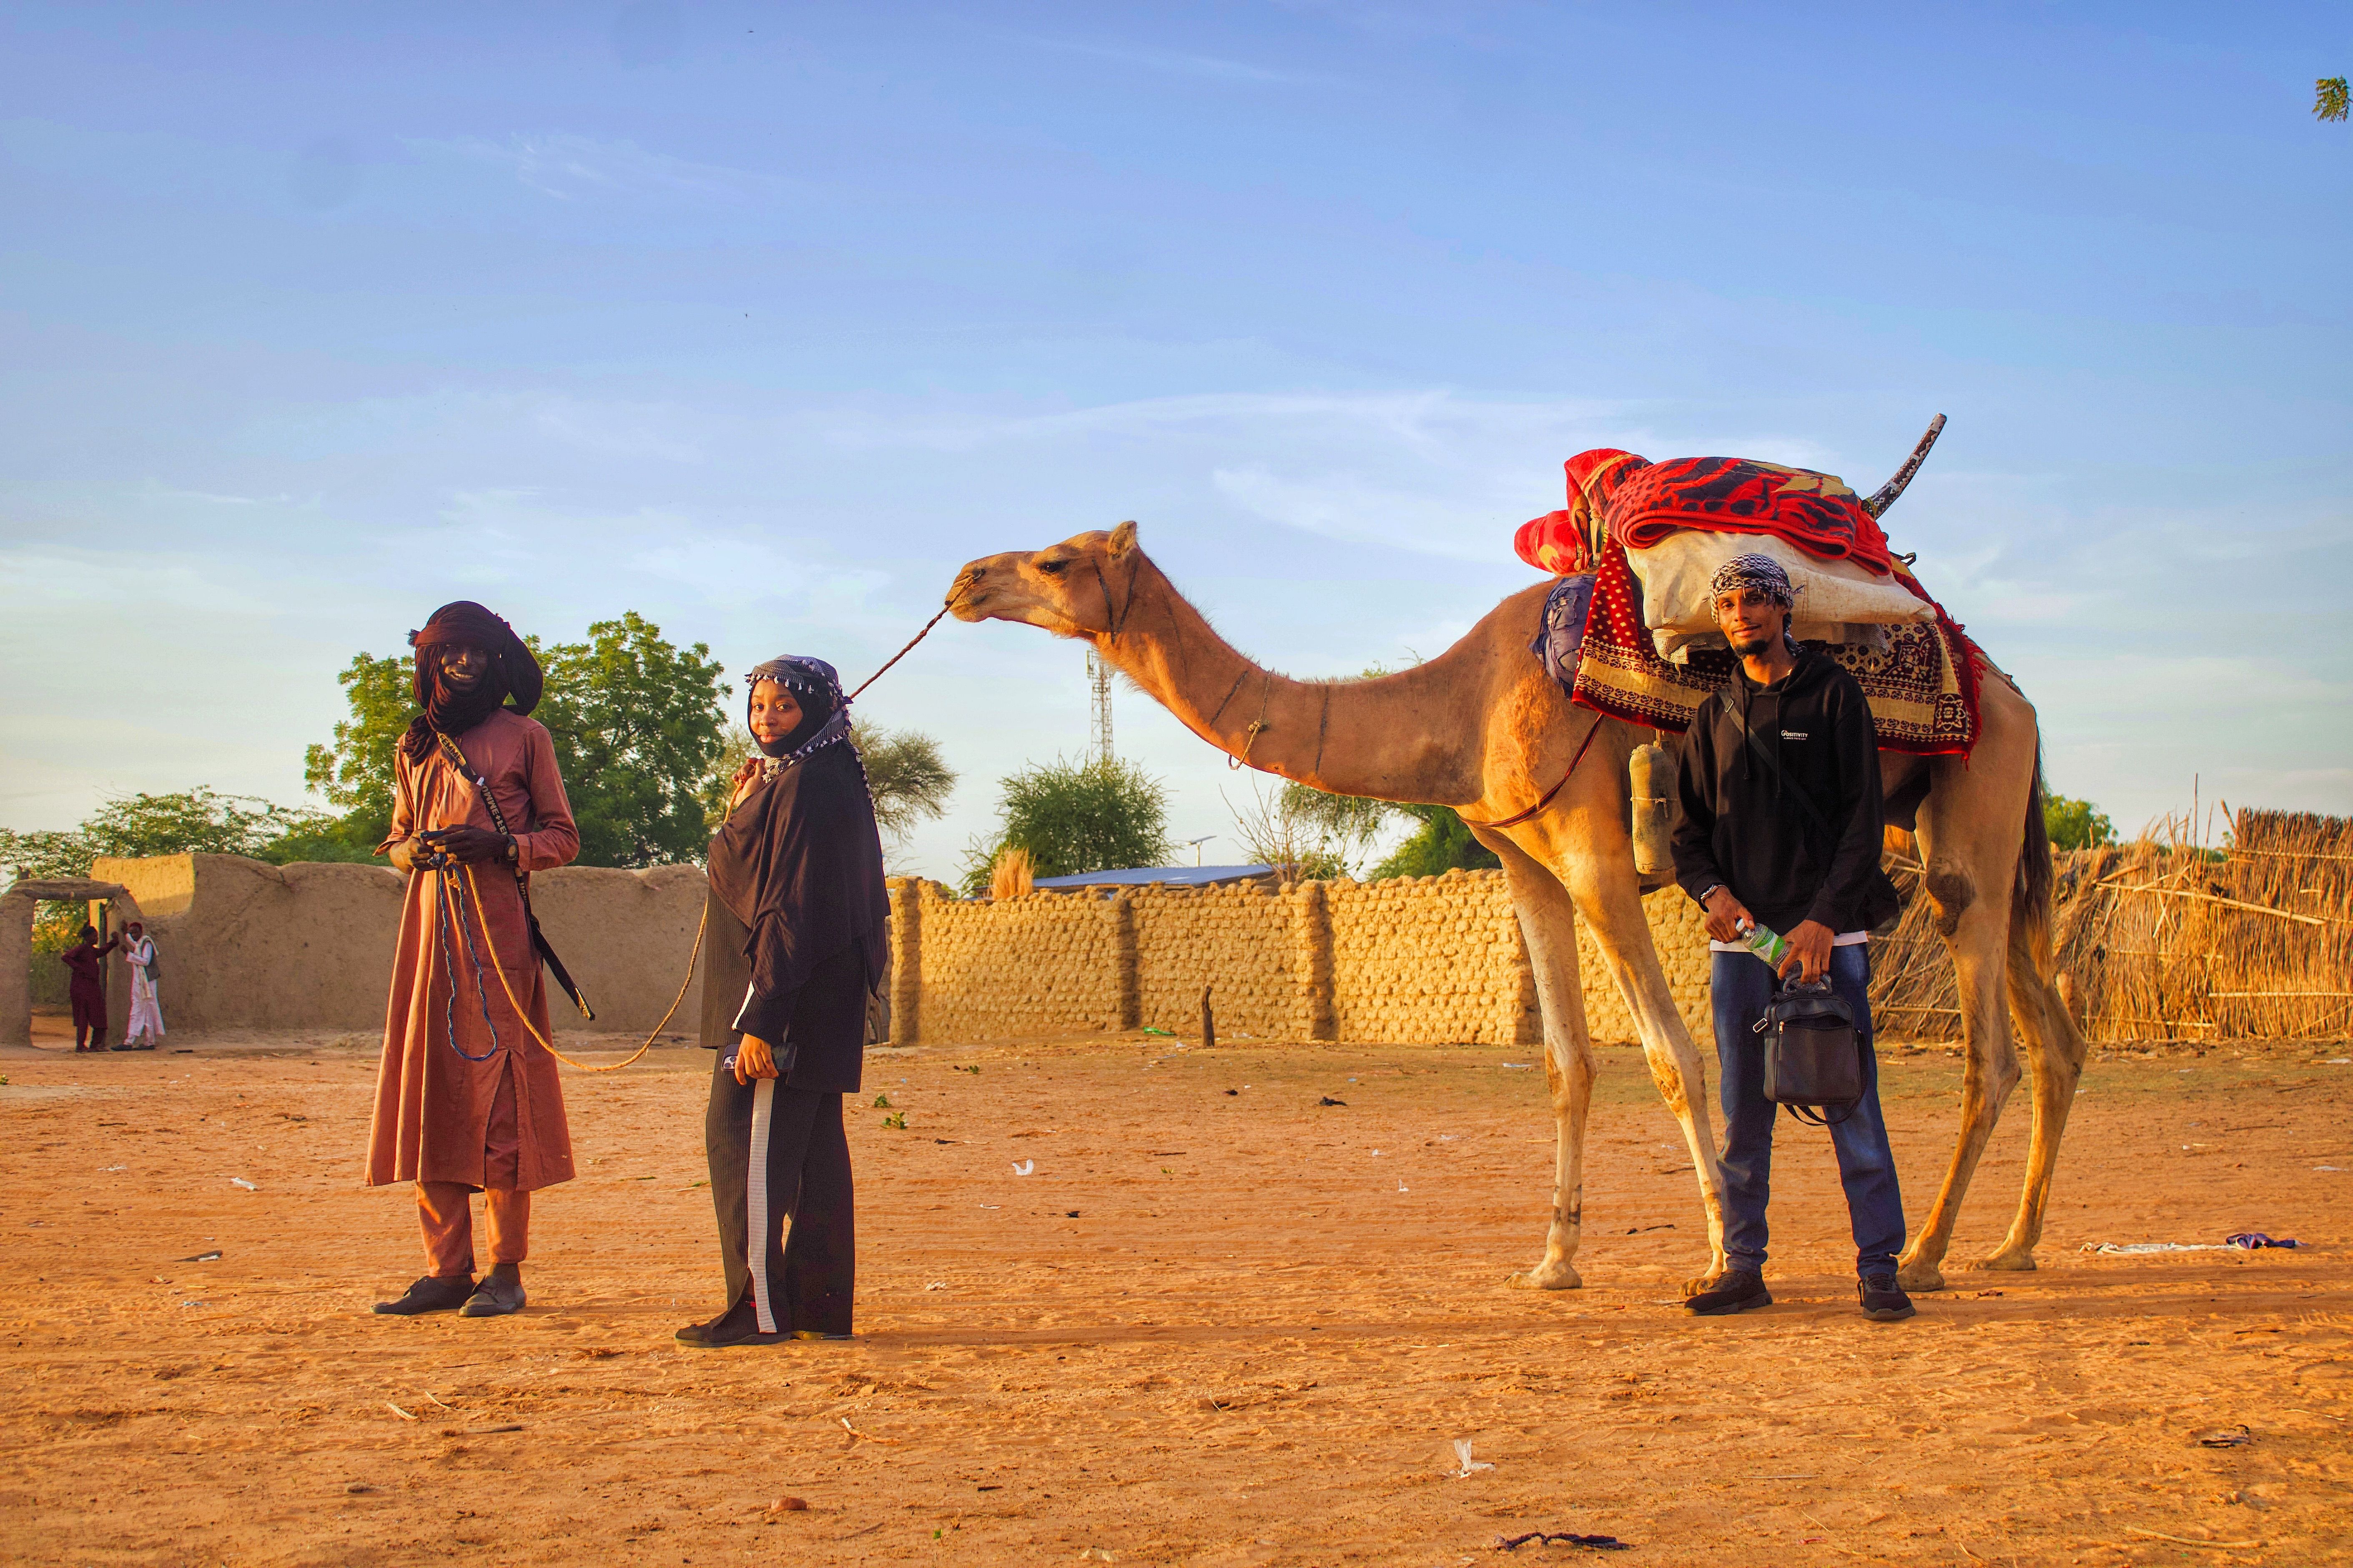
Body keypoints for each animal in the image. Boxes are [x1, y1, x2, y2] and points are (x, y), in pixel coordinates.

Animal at [950, 521, 2090, 1293]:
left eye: (1055, 560)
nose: (965, 579)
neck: (1460, 706)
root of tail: (2015, 696)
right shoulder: (1527, 866)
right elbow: (1565, 1064)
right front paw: (1553, 1260)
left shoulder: (1594, 854)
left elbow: (1673, 1059)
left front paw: (1719, 1256)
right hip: (1960, 828)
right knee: (2054, 1034)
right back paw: (2014, 1243)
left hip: (1971, 811)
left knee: (1988, 1042)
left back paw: (1929, 1252)